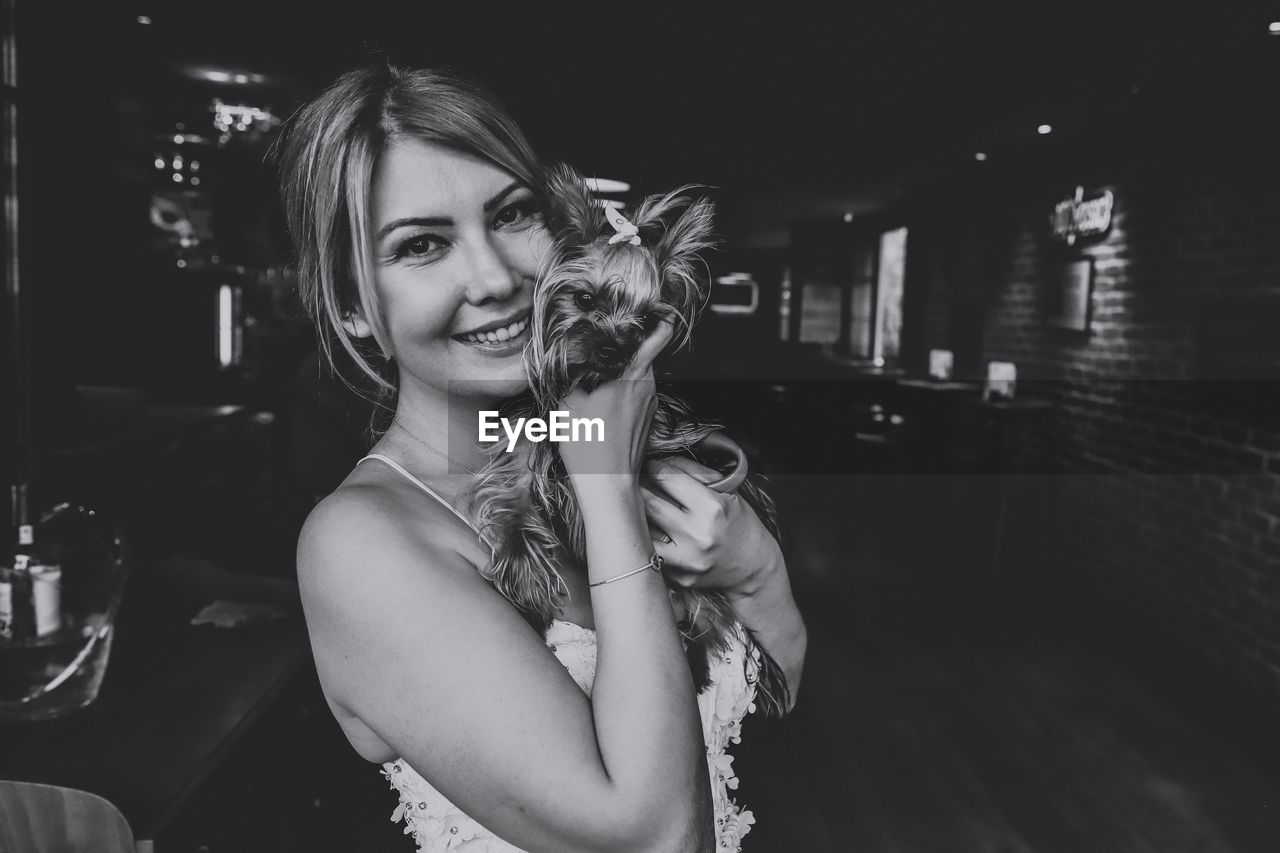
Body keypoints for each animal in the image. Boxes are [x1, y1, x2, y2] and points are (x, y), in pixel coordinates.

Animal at [473, 163, 788, 712]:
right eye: (584, 298)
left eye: (645, 320)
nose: (610, 348)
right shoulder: (524, 451)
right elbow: (510, 497)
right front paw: (524, 573)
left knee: (709, 613)